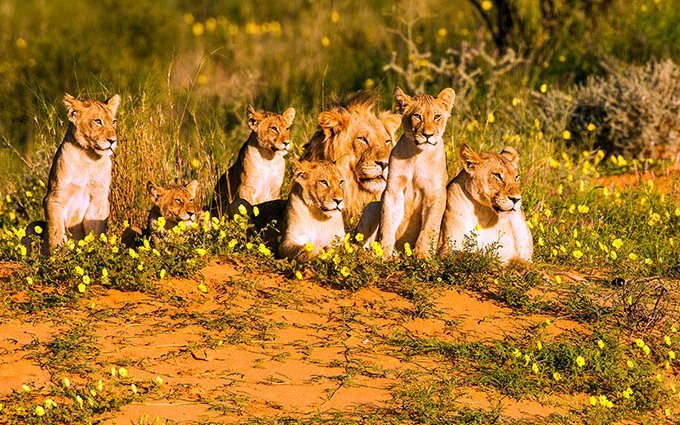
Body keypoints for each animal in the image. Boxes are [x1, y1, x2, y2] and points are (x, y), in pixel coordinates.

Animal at [35, 92, 121, 254]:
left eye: (113, 122)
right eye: (98, 121)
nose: (113, 140)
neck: (89, 159)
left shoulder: (99, 198)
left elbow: (95, 230)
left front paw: (94, 251)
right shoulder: (54, 197)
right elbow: (56, 229)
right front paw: (58, 254)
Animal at [356, 87, 455, 258]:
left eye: (437, 116)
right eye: (417, 116)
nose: (427, 135)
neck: (418, 155)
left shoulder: (435, 192)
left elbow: (429, 227)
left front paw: (422, 255)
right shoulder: (392, 189)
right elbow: (387, 223)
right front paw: (384, 253)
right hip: (372, 206)